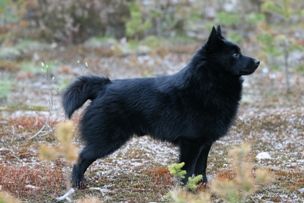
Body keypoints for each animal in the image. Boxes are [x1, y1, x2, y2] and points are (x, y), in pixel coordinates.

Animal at [61, 26, 258, 188]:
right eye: (235, 55)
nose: (258, 62)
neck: (207, 85)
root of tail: (104, 86)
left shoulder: (205, 143)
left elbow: (201, 168)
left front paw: (203, 187)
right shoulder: (191, 143)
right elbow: (188, 170)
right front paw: (188, 191)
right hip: (106, 140)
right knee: (81, 158)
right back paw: (77, 184)